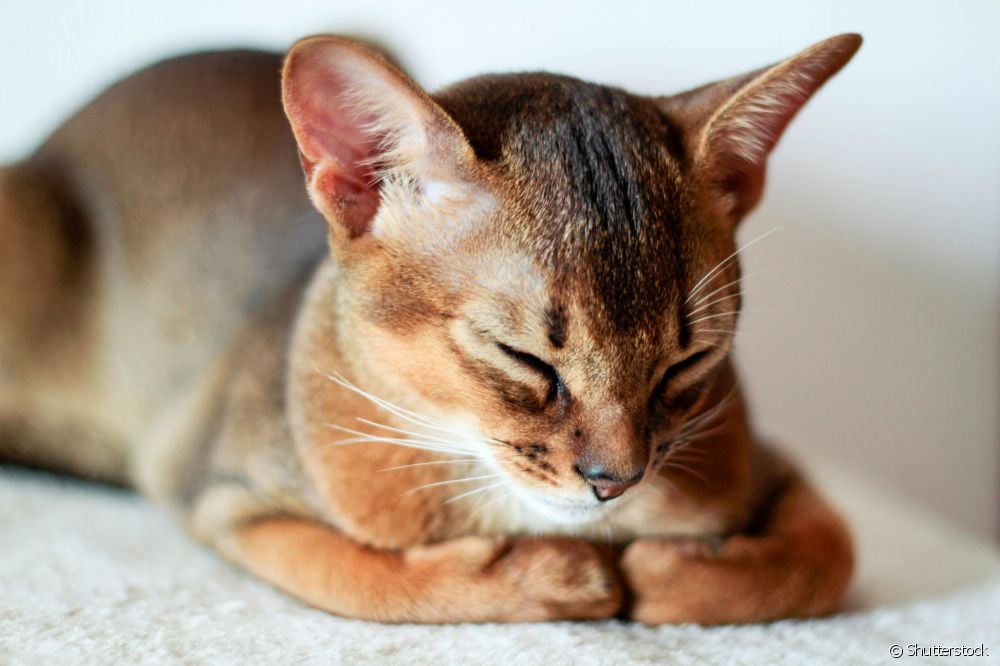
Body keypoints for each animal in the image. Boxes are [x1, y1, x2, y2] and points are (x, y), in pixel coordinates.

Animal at [0, 32, 860, 624]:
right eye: (523, 359)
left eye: (688, 364)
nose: (617, 481)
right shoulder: (223, 495)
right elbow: (370, 577)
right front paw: (556, 575)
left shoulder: (769, 464)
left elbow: (829, 556)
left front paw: (666, 573)